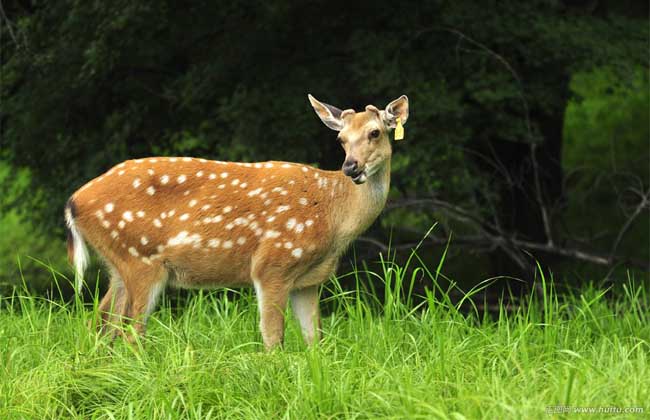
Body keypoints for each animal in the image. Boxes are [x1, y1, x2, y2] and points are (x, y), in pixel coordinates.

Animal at [67, 93, 410, 350]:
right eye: (340, 138)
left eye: (375, 132)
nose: (351, 167)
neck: (332, 215)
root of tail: (74, 201)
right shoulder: (272, 264)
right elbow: (274, 339)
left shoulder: (308, 281)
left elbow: (316, 340)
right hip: (141, 260)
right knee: (130, 331)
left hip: (118, 264)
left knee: (101, 323)